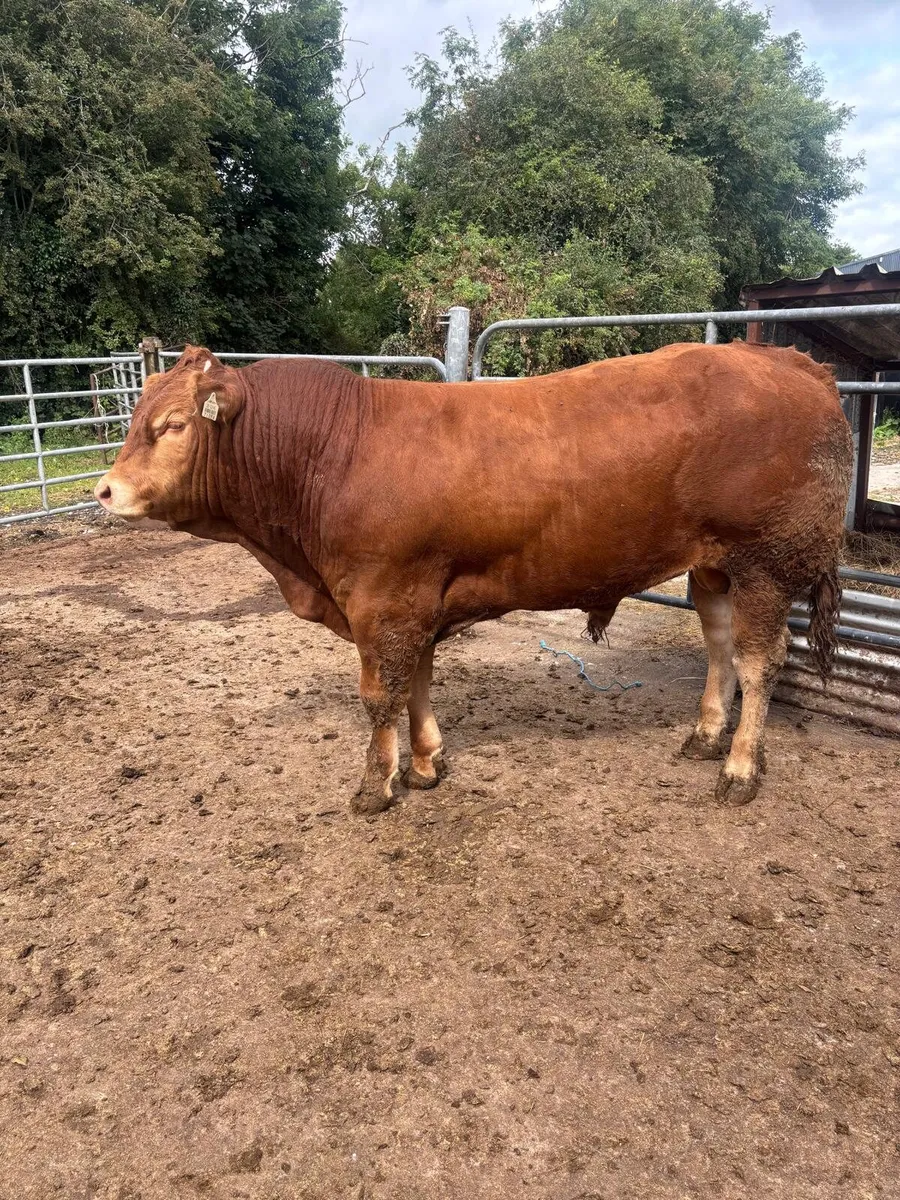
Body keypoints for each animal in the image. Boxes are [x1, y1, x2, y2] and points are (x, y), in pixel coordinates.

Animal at [95, 342, 852, 813]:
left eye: (171, 425)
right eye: (136, 417)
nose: (105, 490)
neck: (334, 451)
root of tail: (786, 360)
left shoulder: (380, 601)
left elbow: (380, 696)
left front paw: (376, 786)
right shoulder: (413, 601)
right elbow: (418, 684)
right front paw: (426, 764)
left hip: (766, 563)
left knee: (759, 661)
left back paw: (739, 769)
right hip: (715, 566)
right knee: (720, 647)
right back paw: (703, 737)